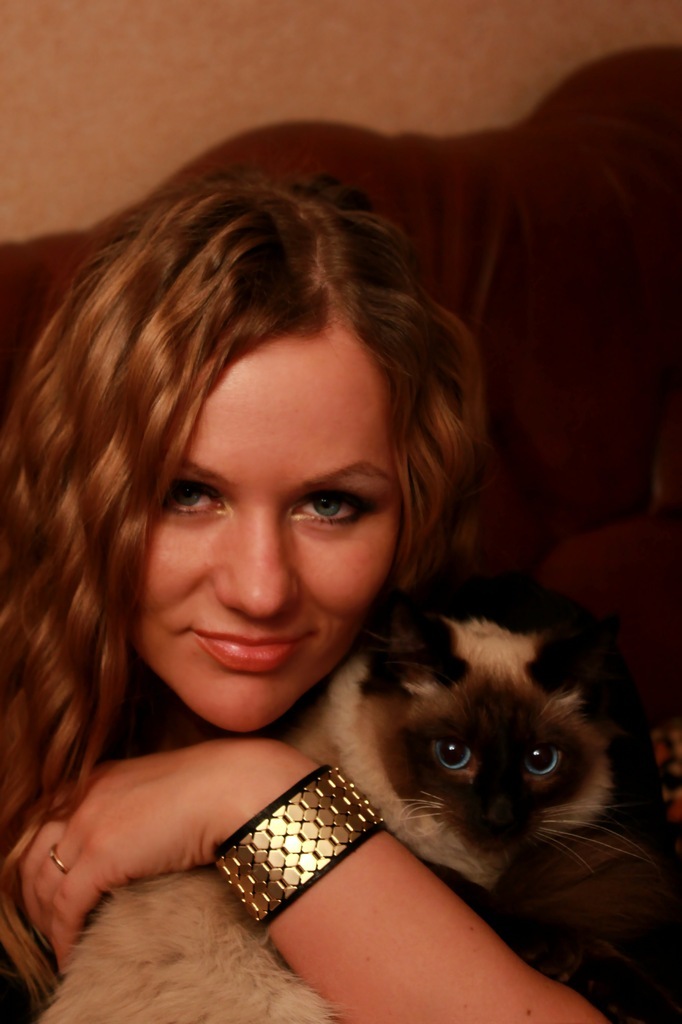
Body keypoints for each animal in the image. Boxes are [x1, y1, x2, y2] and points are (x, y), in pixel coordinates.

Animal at [39, 574, 682, 1024]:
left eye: (540, 761)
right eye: (453, 754)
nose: (498, 817)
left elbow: (609, 956)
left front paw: (645, 1003)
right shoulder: (423, 860)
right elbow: (486, 903)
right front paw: (562, 953)